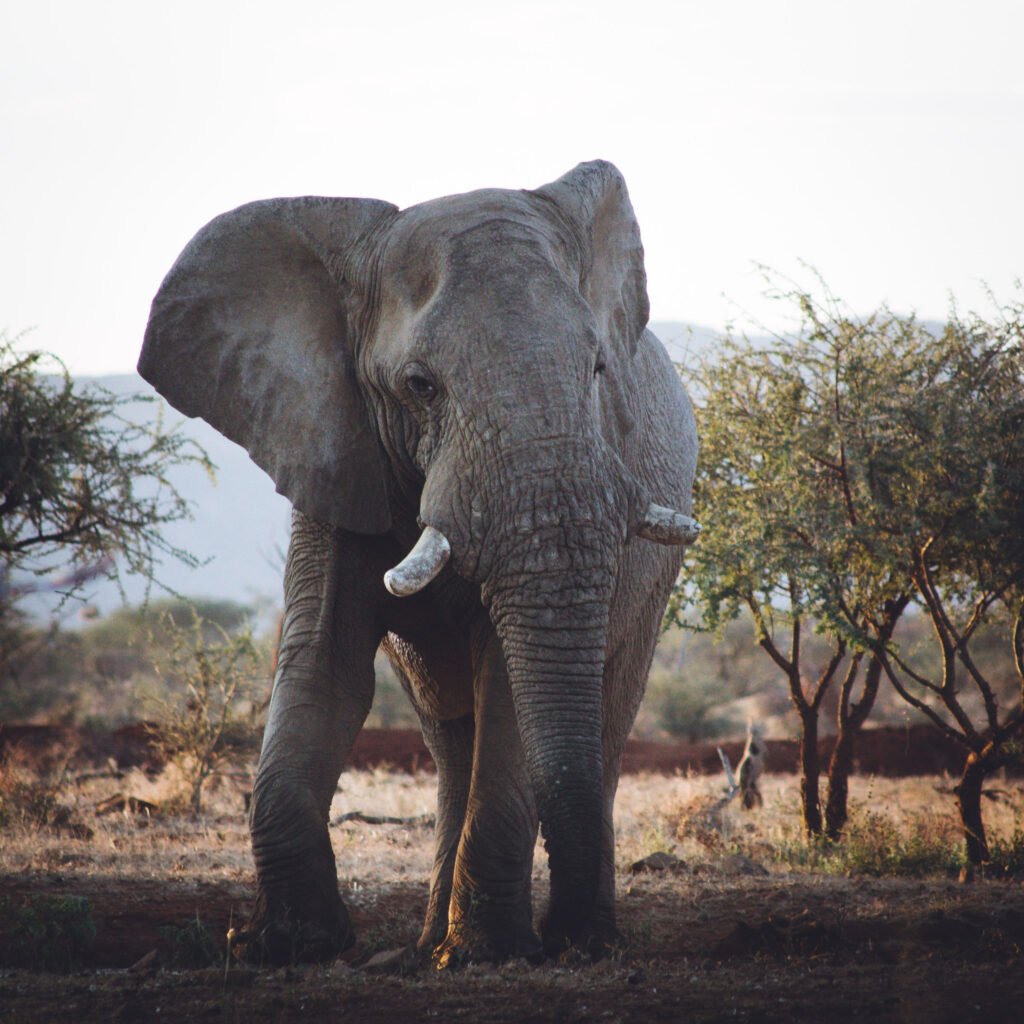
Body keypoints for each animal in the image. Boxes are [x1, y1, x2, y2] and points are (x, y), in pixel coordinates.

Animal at [138, 160, 699, 966]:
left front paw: (492, 953)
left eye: (597, 368)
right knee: (450, 739)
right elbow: (324, 668)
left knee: (603, 720)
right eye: (419, 386)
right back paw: (442, 941)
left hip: (652, 583)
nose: (559, 939)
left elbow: (507, 684)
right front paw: (287, 944)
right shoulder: (332, 450)